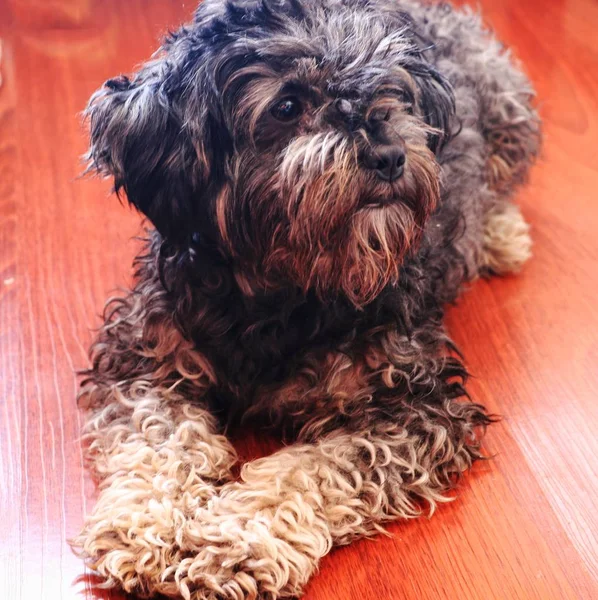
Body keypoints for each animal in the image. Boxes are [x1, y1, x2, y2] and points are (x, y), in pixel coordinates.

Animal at [71, 0, 544, 596]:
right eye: (287, 105)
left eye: (392, 93)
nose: (390, 155)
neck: (281, 290)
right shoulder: (143, 357)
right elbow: (155, 439)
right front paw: (144, 529)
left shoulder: (415, 404)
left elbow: (314, 468)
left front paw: (233, 545)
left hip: (509, 113)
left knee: (499, 185)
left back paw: (500, 235)